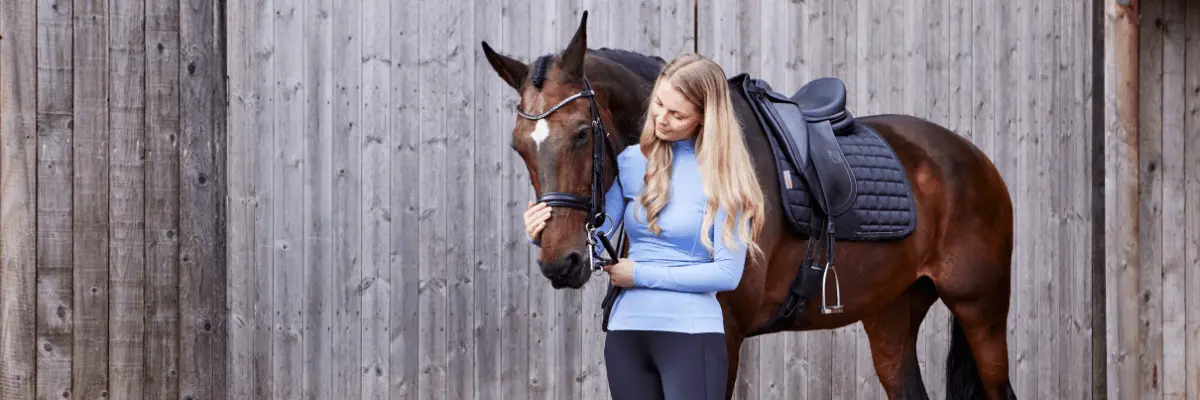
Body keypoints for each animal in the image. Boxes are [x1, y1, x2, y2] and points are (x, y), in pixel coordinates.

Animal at [480, 11, 1017, 400]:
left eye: (582, 133)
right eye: (518, 146)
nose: (561, 261)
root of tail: (975, 160)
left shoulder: (724, 337)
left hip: (981, 309)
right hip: (891, 312)